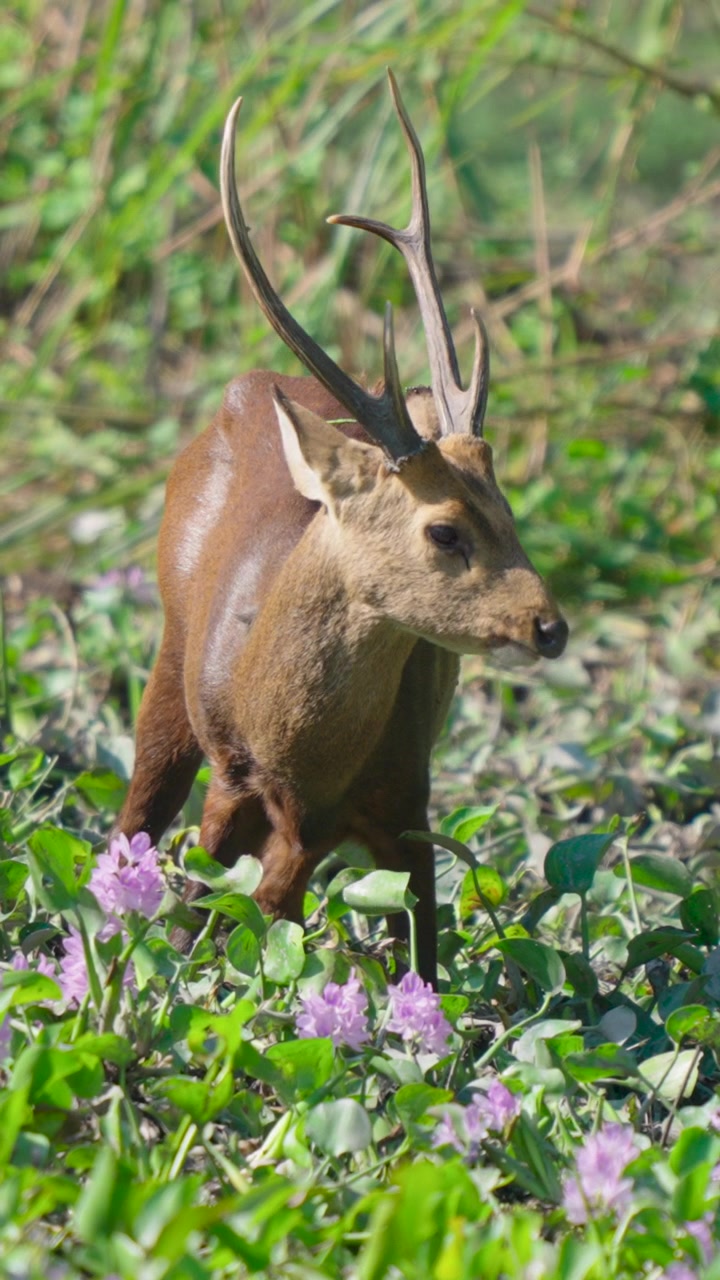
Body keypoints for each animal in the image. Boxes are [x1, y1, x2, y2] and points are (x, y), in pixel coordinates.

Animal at [116, 72, 568, 987]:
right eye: (444, 531)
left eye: (508, 508)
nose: (549, 626)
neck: (301, 755)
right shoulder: (239, 786)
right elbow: (221, 923)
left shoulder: (405, 803)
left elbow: (410, 953)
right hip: (169, 658)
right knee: (138, 819)